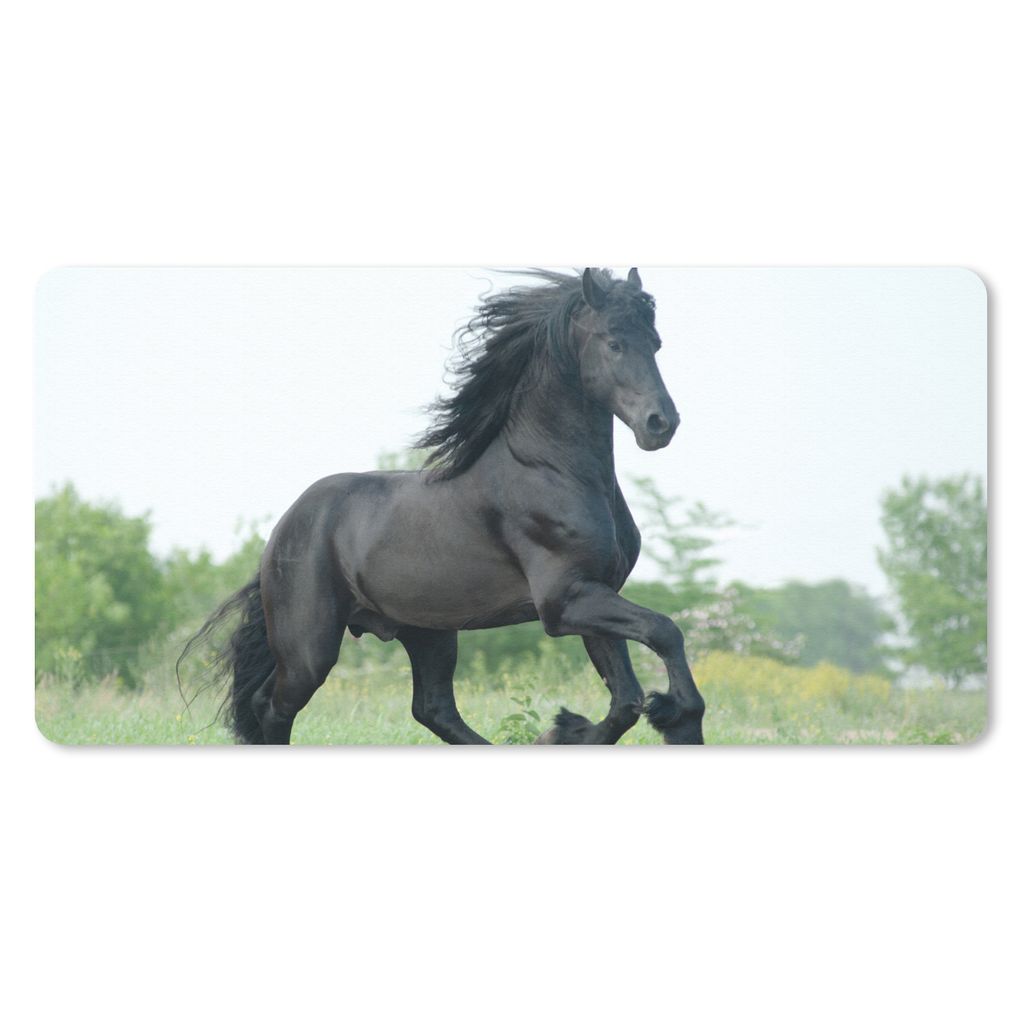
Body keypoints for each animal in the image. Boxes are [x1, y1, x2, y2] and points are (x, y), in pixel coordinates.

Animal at [181, 267, 706, 745]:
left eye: (655, 343)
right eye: (614, 343)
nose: (661, 423)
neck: (551, 470)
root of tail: (284, 528)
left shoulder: (595, 593)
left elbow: (626, 701)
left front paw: (569, 729)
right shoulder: (565, 601)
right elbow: (665, 632)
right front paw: (669, 717)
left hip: (428, 633)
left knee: (432, 710)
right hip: (310, 644)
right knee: (273, 708)